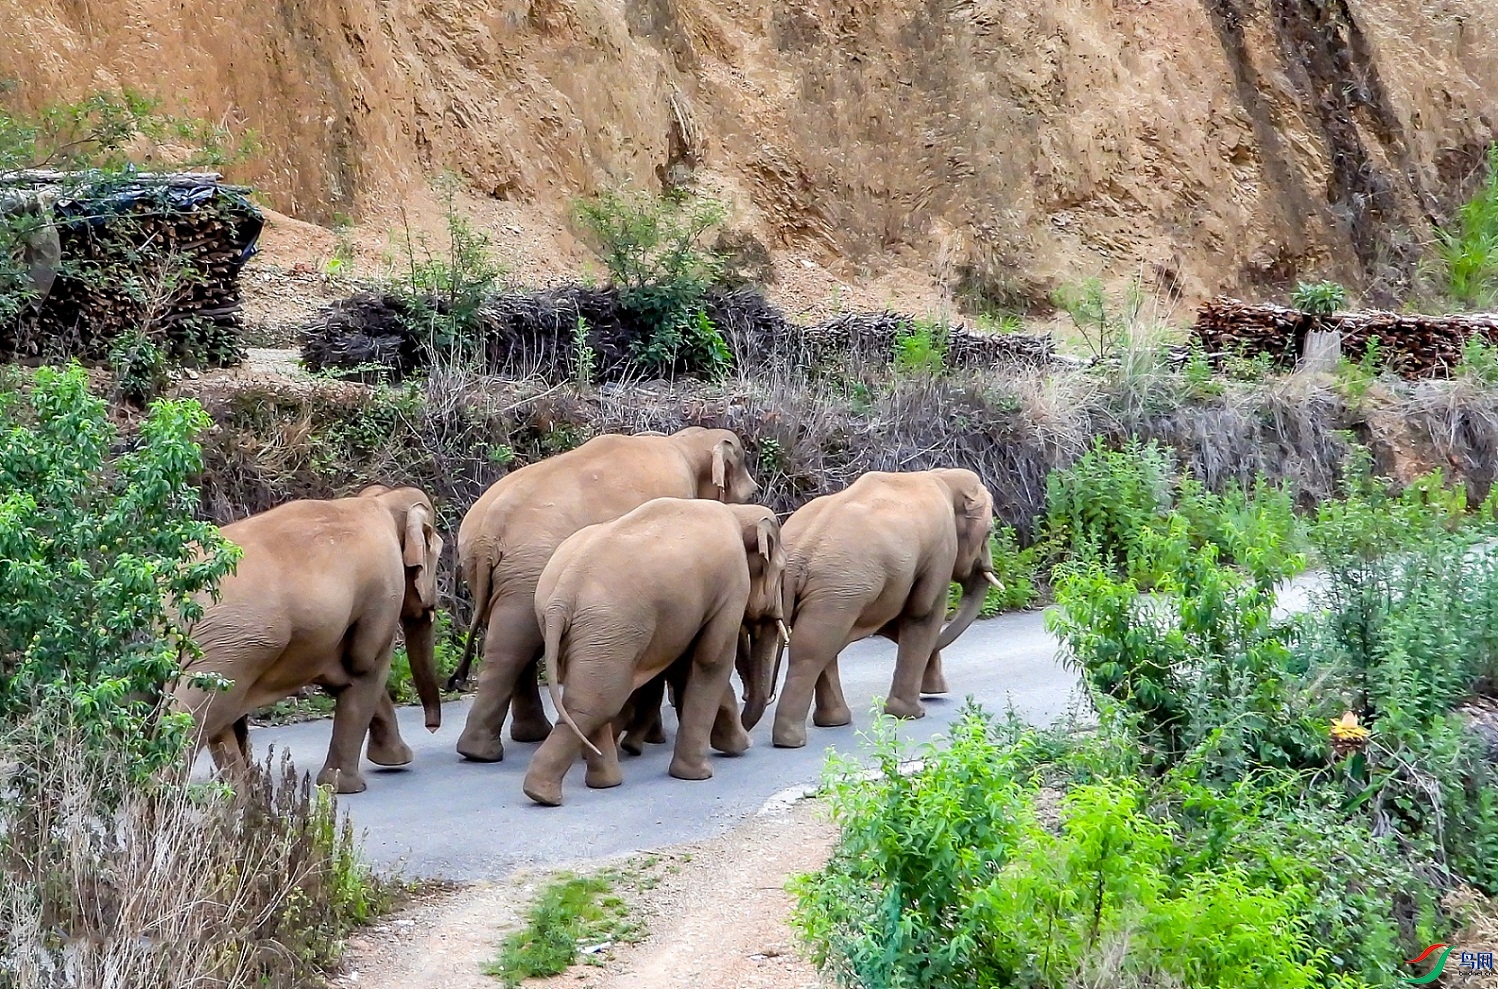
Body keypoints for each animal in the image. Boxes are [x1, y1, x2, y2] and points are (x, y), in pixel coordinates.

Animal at [446, 425, 760, 764]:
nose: (748, 696)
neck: (681, 443)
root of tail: (486, 535)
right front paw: (650, 736)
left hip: (497, 573)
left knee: (512, 645)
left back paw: (510, 742)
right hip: (525, 570)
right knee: (513, 648)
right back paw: (488, 752)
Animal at [521, 497, 790, 809]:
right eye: (783, 571)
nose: (749, 737)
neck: (737, 512)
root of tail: (562, 595)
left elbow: (688, 664)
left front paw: (736, 747)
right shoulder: (732, 584)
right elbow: (712, 659)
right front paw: (701, 773)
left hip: (584, 633)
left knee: (591, 696)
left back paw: (598, 783)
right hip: (611, 629)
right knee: (597, 702)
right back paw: (545, 794)